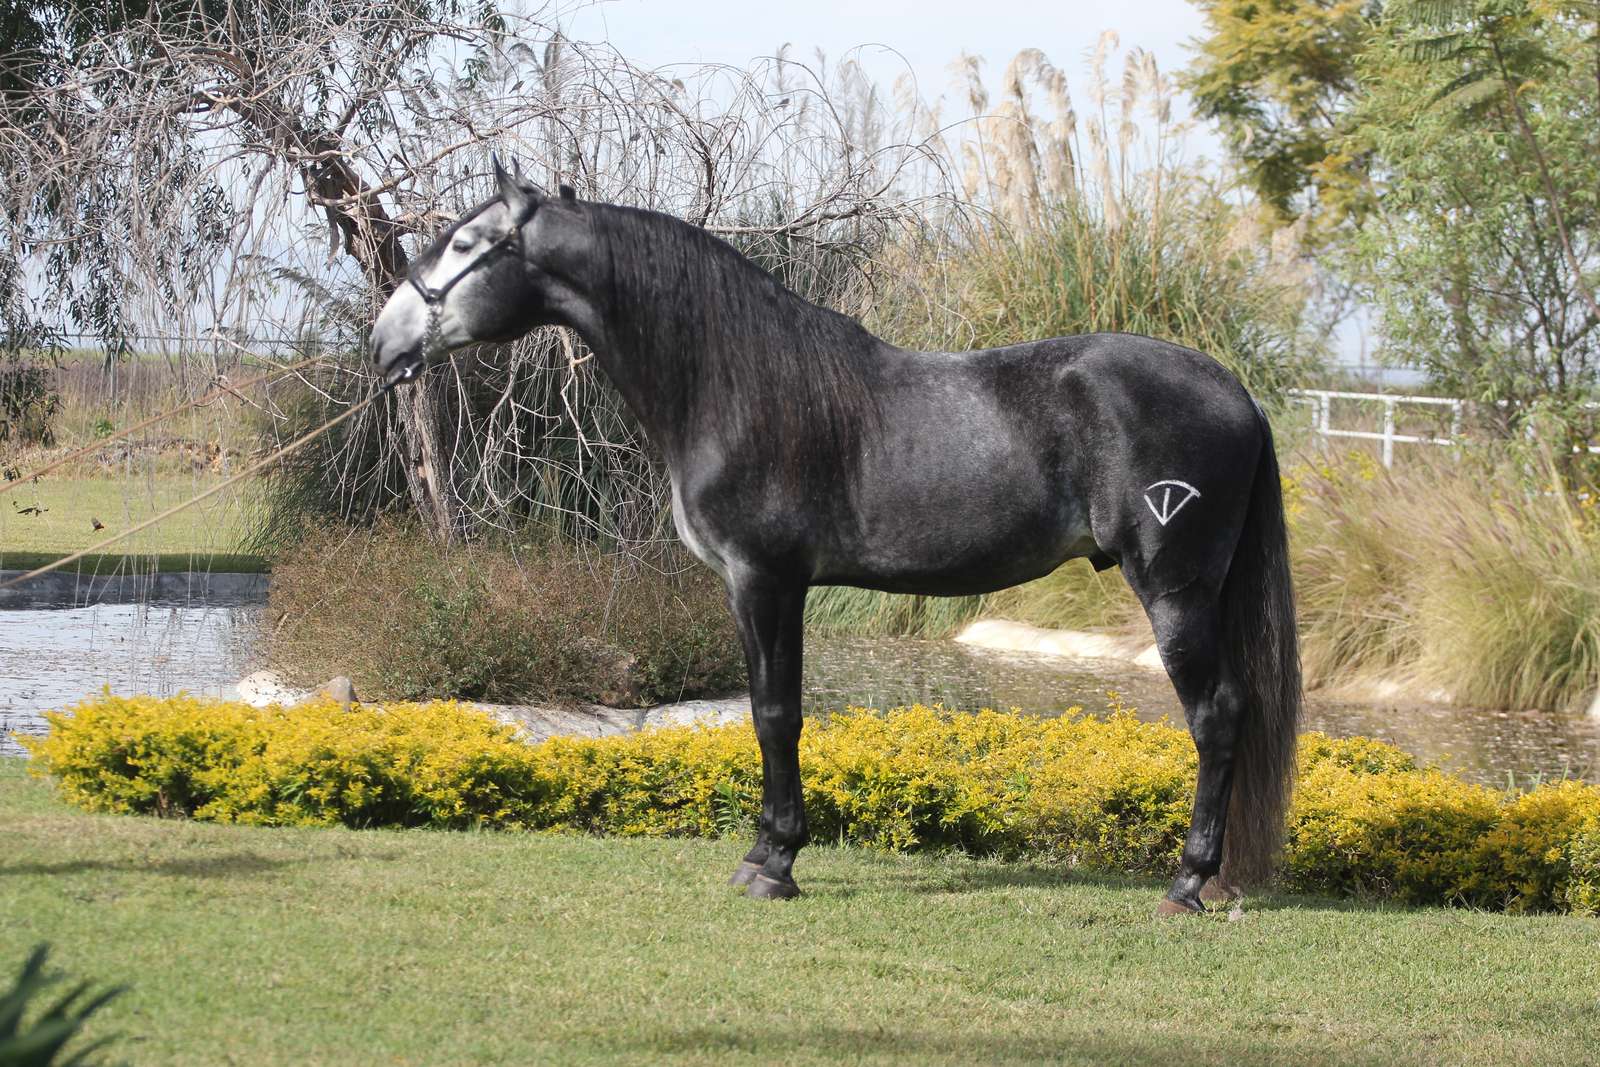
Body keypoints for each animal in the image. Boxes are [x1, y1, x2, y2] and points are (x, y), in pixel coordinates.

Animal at [370, 159, 1301, 915]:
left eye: (467, 243)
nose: (383, 341)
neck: (737, 387)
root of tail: (1236, 391)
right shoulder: (757, 587)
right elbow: (765, 710)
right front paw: (762, 851)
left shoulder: (767, 579)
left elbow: (777, 714)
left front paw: (776, 863)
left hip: (1174, 589)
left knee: (1216, 714)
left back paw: (1187, 881)